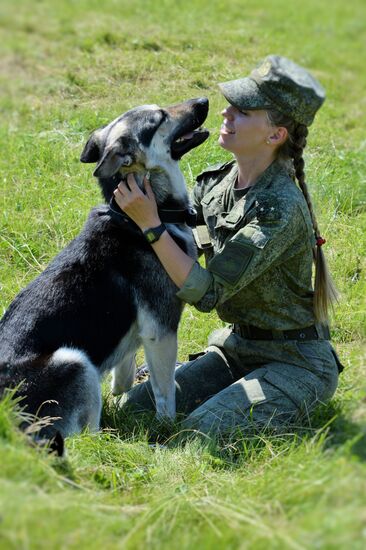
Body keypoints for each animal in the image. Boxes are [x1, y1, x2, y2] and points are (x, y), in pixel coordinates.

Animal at [0, 97, 209, 454]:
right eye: (159, 118)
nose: (204, 100)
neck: (138, 215)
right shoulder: (161, 330)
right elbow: (165, 392)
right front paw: (168, 429)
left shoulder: (139, 335)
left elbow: (123, 379)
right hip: (74, 361)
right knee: (89, 440)